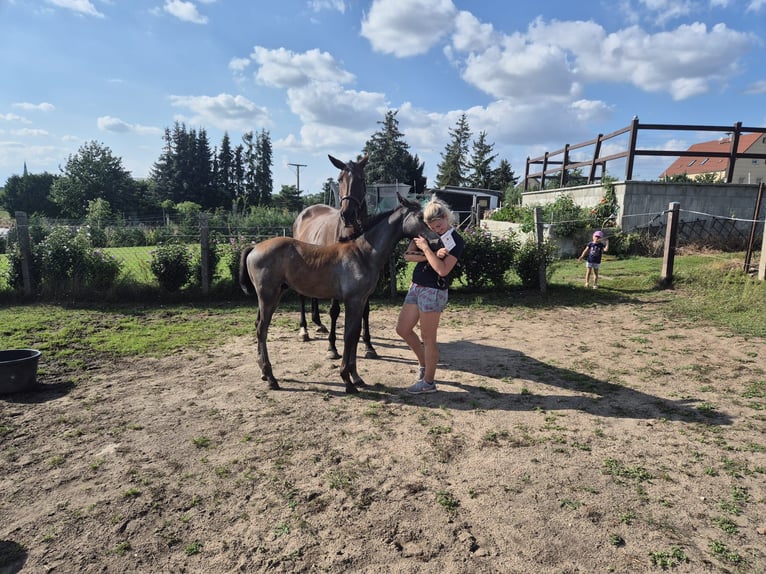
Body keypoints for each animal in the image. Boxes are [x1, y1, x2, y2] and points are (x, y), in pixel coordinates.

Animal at [240, 196, 436, 394]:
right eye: (420, 217)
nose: (435, 241)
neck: (363, 254)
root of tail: (254, 247)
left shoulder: (361, 301)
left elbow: (355, 334)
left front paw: (356, 377)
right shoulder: (353, 301)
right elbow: (349, 335)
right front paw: (347, 380)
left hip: (268, 297)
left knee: (258, 325)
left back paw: (264, 374)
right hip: (269, 297)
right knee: (262, 329)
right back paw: (271, 377)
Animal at [292, 155, 378, 358]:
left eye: (362, 179)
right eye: (339, 179)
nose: (348, 214)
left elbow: (366, 310)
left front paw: (368, 345)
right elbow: (334, 310)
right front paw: (332, 347)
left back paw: (318, 323)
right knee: (302, 296)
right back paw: (304, 330)